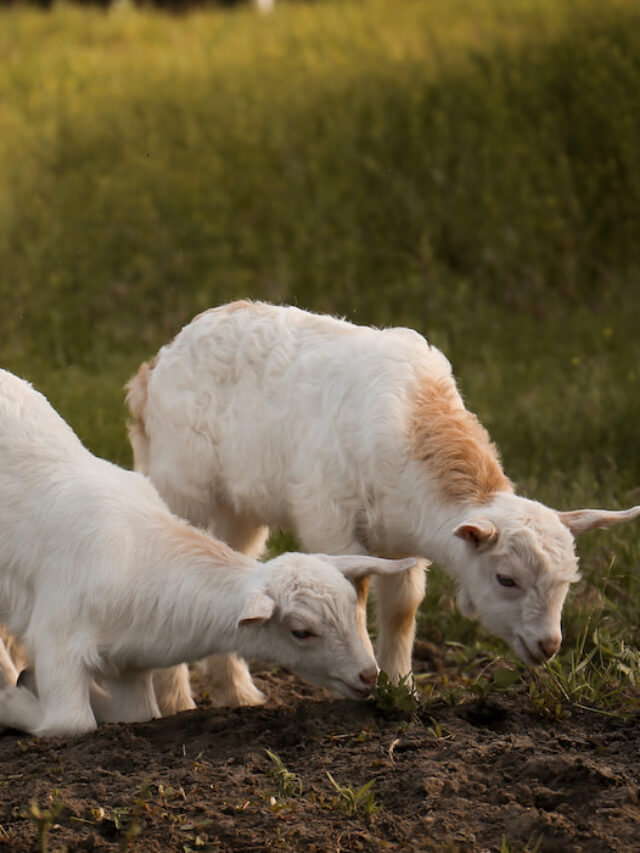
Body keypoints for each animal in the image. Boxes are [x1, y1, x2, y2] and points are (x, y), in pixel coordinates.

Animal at [0, 368, 414, 737]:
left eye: (353, 609)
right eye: (301, 632)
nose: (368, 675)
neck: (140, 559)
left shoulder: (128, 664)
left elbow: (138, 713)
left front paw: (32, 685)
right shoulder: (57, 639)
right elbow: (71, 723)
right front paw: (11, 700)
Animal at [126, 301, 640, 711]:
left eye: (567, 583)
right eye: (506, 579)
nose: (548, 645)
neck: (412, 424)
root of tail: (155, 367)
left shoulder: (403, 540)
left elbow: (403, 607)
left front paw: (400, 689)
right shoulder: (330, 520)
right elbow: (355, 596)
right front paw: (362, 680)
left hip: (240, 508)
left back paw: (236, 693)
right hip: (181, 485)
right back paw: (177, 702)